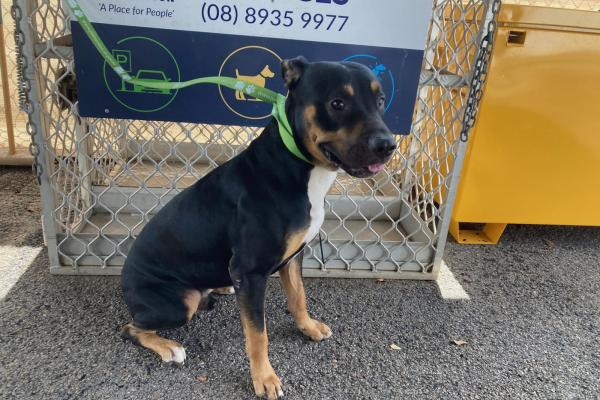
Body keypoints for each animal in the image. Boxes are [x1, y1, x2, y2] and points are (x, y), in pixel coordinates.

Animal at [120, 57, 396, 400]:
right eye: (337, 103)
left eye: (380, 100)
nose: (388, 145)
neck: (299, 167)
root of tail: (125, 282)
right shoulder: (250, 272)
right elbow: (257, 334)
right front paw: (264, 378)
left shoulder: (293, 257)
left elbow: (299, 297)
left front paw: (308, 327)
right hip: (178, 305)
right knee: (130, 328)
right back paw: (169, 347)